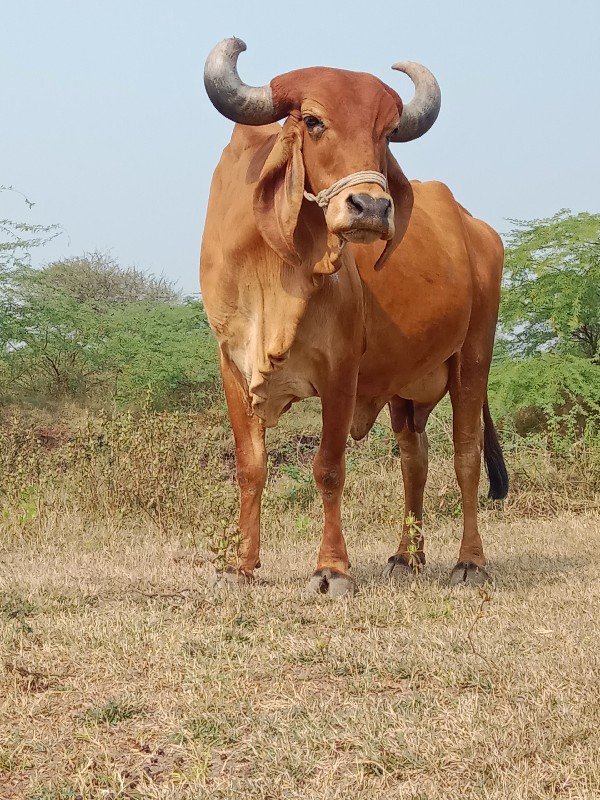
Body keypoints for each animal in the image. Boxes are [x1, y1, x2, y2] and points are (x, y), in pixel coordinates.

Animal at [200, 40, 506, 596]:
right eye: (313, 121)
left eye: (386, 132)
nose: (371, 207)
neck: (274, 269)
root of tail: (477, 229)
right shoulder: (232, 365)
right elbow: (250, 467)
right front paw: (239, 565)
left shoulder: (341, 371)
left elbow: (328, 468)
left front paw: (331, 569)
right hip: (406, 389)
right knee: (415, 458)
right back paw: (407, 556)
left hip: (473, 357)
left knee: (466, 456)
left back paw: (470, 562)